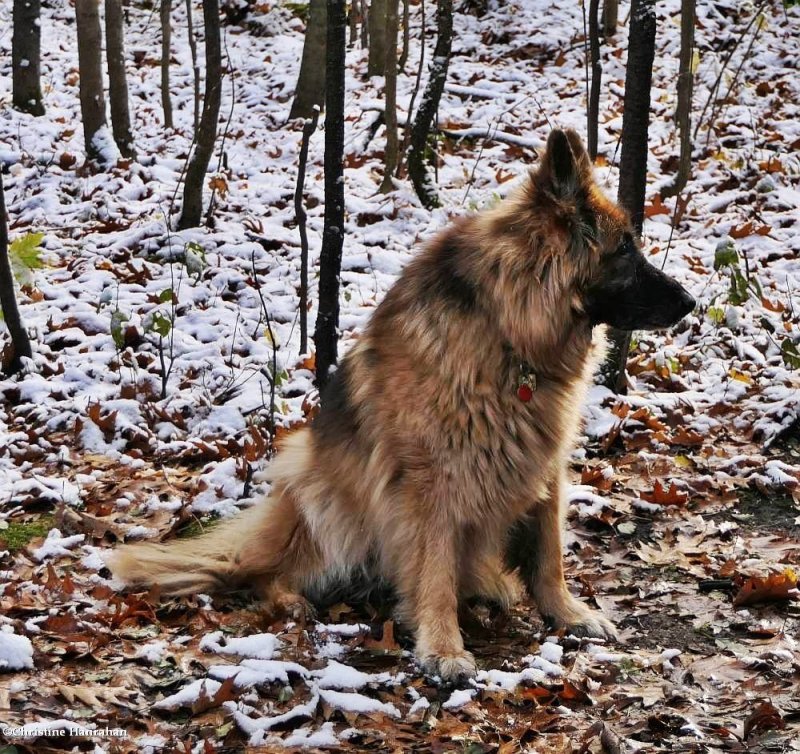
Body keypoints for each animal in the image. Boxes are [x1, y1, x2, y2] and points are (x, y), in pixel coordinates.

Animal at [109, 129, 696, 680]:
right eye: (624, 250)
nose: (691, 302)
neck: (508, 330)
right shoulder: (427, 480)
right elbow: (433, 568)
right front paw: (443, 646)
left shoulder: (543, 461)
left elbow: (548, 554)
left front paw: (567, 614)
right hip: (314, 486)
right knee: (265, 572)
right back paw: (290, 598)